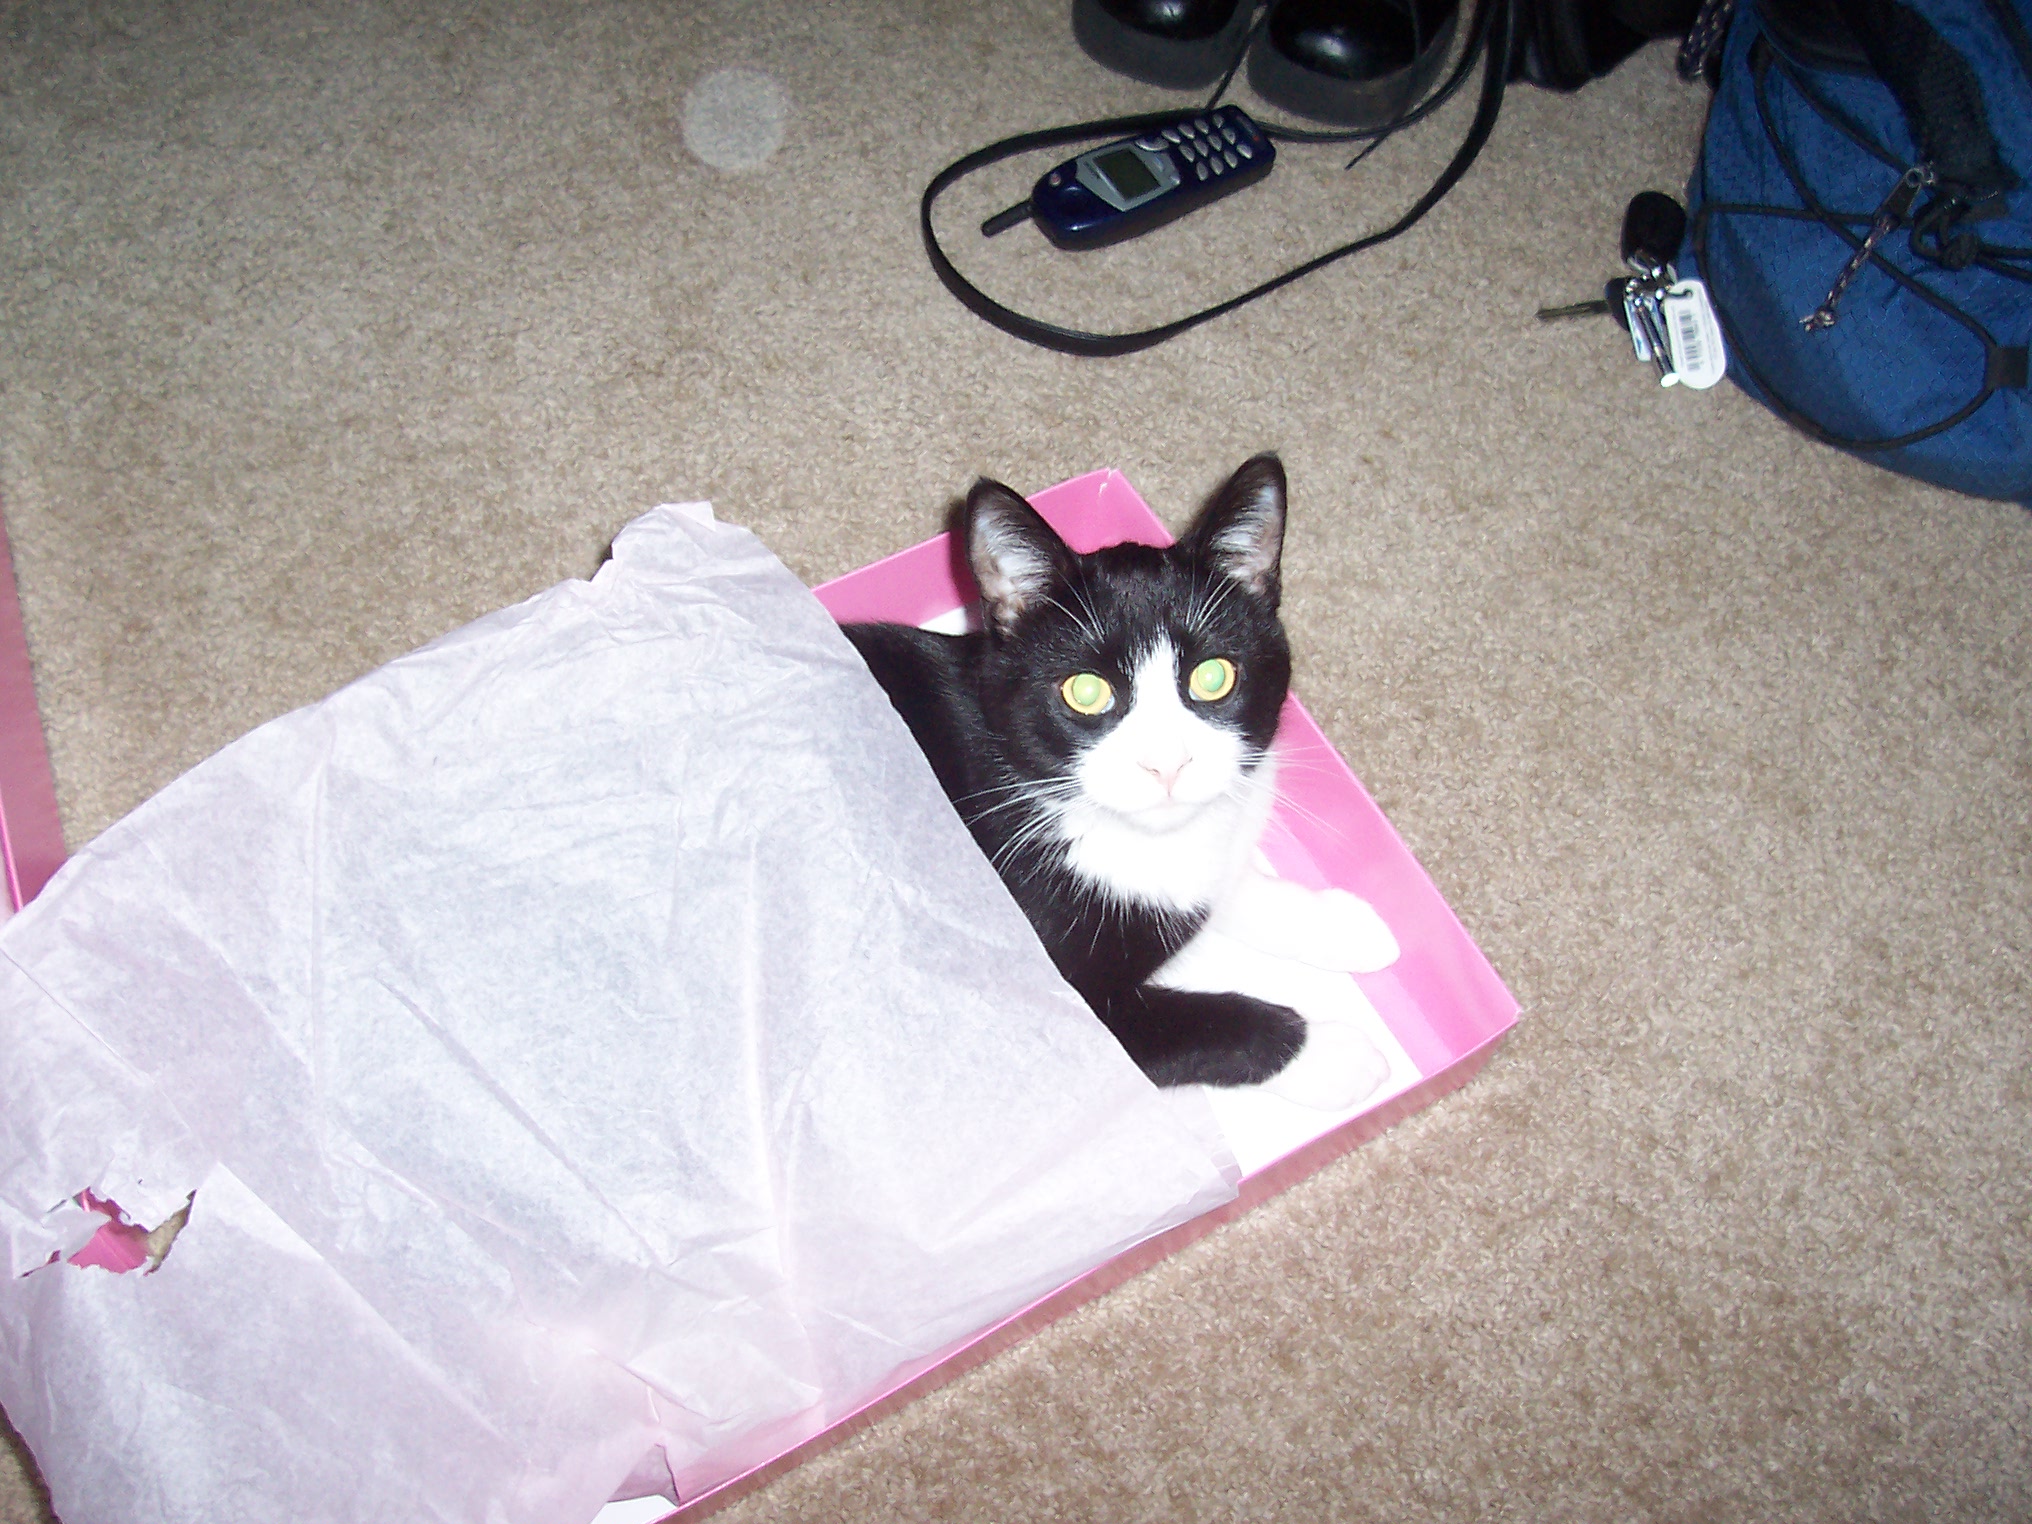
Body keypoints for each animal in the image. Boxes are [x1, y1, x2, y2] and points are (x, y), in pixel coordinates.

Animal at [844, 453, 1397, 1091]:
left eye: (1213, 677)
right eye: (1085, 691)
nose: (1167, 763)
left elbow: (1219, 887)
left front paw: (1343, 926)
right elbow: (1206, 1026)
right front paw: (1335, 1053)